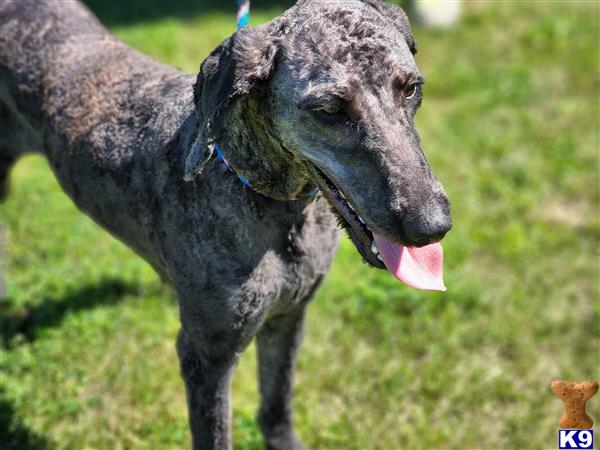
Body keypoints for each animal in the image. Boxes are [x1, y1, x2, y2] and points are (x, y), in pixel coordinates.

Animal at [0, 0, 450, 448]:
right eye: (328, 109)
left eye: (410, 88)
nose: (432, 224)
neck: (275, 208)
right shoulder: (208, 356)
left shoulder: (289, 316)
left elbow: (277, 403)